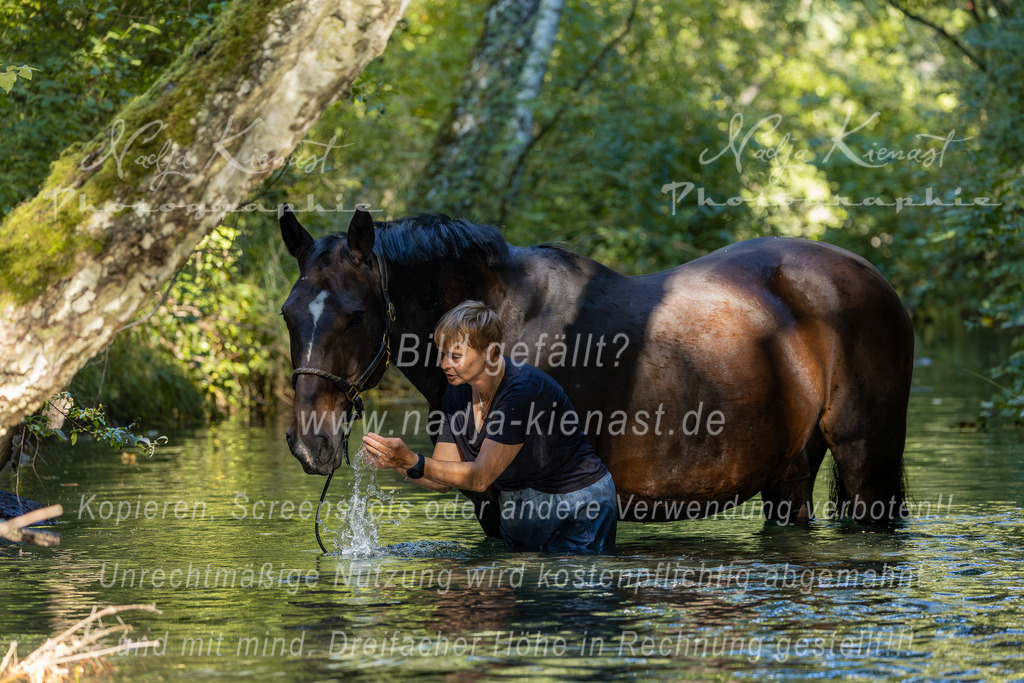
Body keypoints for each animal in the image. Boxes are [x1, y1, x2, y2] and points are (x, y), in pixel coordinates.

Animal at [279, 205, 913, 536]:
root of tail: (872, 276)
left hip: (866, 460)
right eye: (288, 313)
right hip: (789, 470)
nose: (311, 443)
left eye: (357, 315)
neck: (509, 323)